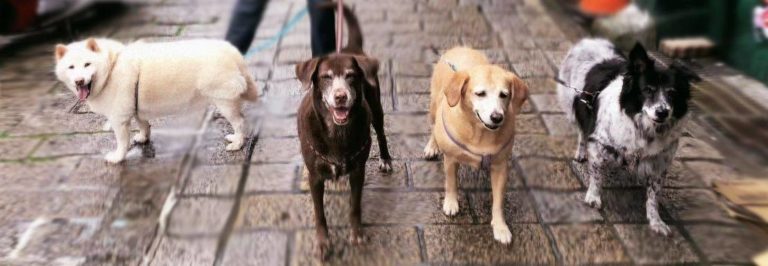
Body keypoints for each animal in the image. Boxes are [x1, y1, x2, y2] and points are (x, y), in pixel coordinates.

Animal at [54, 37, 258, 162]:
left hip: (224, 101)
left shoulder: (119, 118)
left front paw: (118, 157)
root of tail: (232, 51)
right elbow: (143, 124)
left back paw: (237, 143)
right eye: (71, 67)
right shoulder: (135, 106)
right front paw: (143, 138)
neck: (111, 67)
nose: (79, 81)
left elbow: (122, 142)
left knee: (240, 122)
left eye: (87, 64)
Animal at [426, 46, 528, 243]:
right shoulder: (451, 159)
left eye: (504, 95)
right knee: (434, 126)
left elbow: (498, 201)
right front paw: (451, 202)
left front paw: (500, 226)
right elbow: (451, 183)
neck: (480, 134)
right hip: (434, 106)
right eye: (480, 94)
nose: (497, 117)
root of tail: (459, 47)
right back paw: (432, 146)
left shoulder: (500, 167)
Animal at [560, 38, 696, 234]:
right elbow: (597, 175)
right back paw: (581, 153)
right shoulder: (600, 144)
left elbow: (654, 195)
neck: (644, 128)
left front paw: (656, 221)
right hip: (577, 104)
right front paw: (593, 196)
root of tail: (592, 40)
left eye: (672, 93)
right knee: (582, 132)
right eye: (647, 90)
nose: (662, 112)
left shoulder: (659, 162)